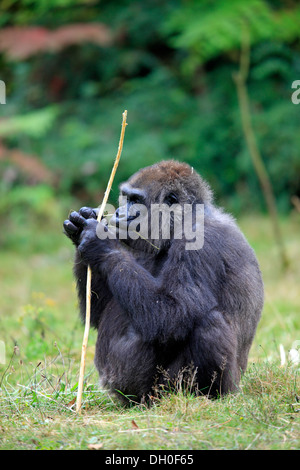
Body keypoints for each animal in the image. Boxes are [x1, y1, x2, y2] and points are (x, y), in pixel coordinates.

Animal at [63, 162, 262, 404]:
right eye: (126, 198)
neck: (185, 220)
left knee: (209, 323)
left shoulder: (200, 243)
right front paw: (81, 228)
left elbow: (171, 315)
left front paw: (100, 241)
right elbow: (98, 314)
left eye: (136, 200)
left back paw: (209, 394)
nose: (118, 213)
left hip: (166, 390)